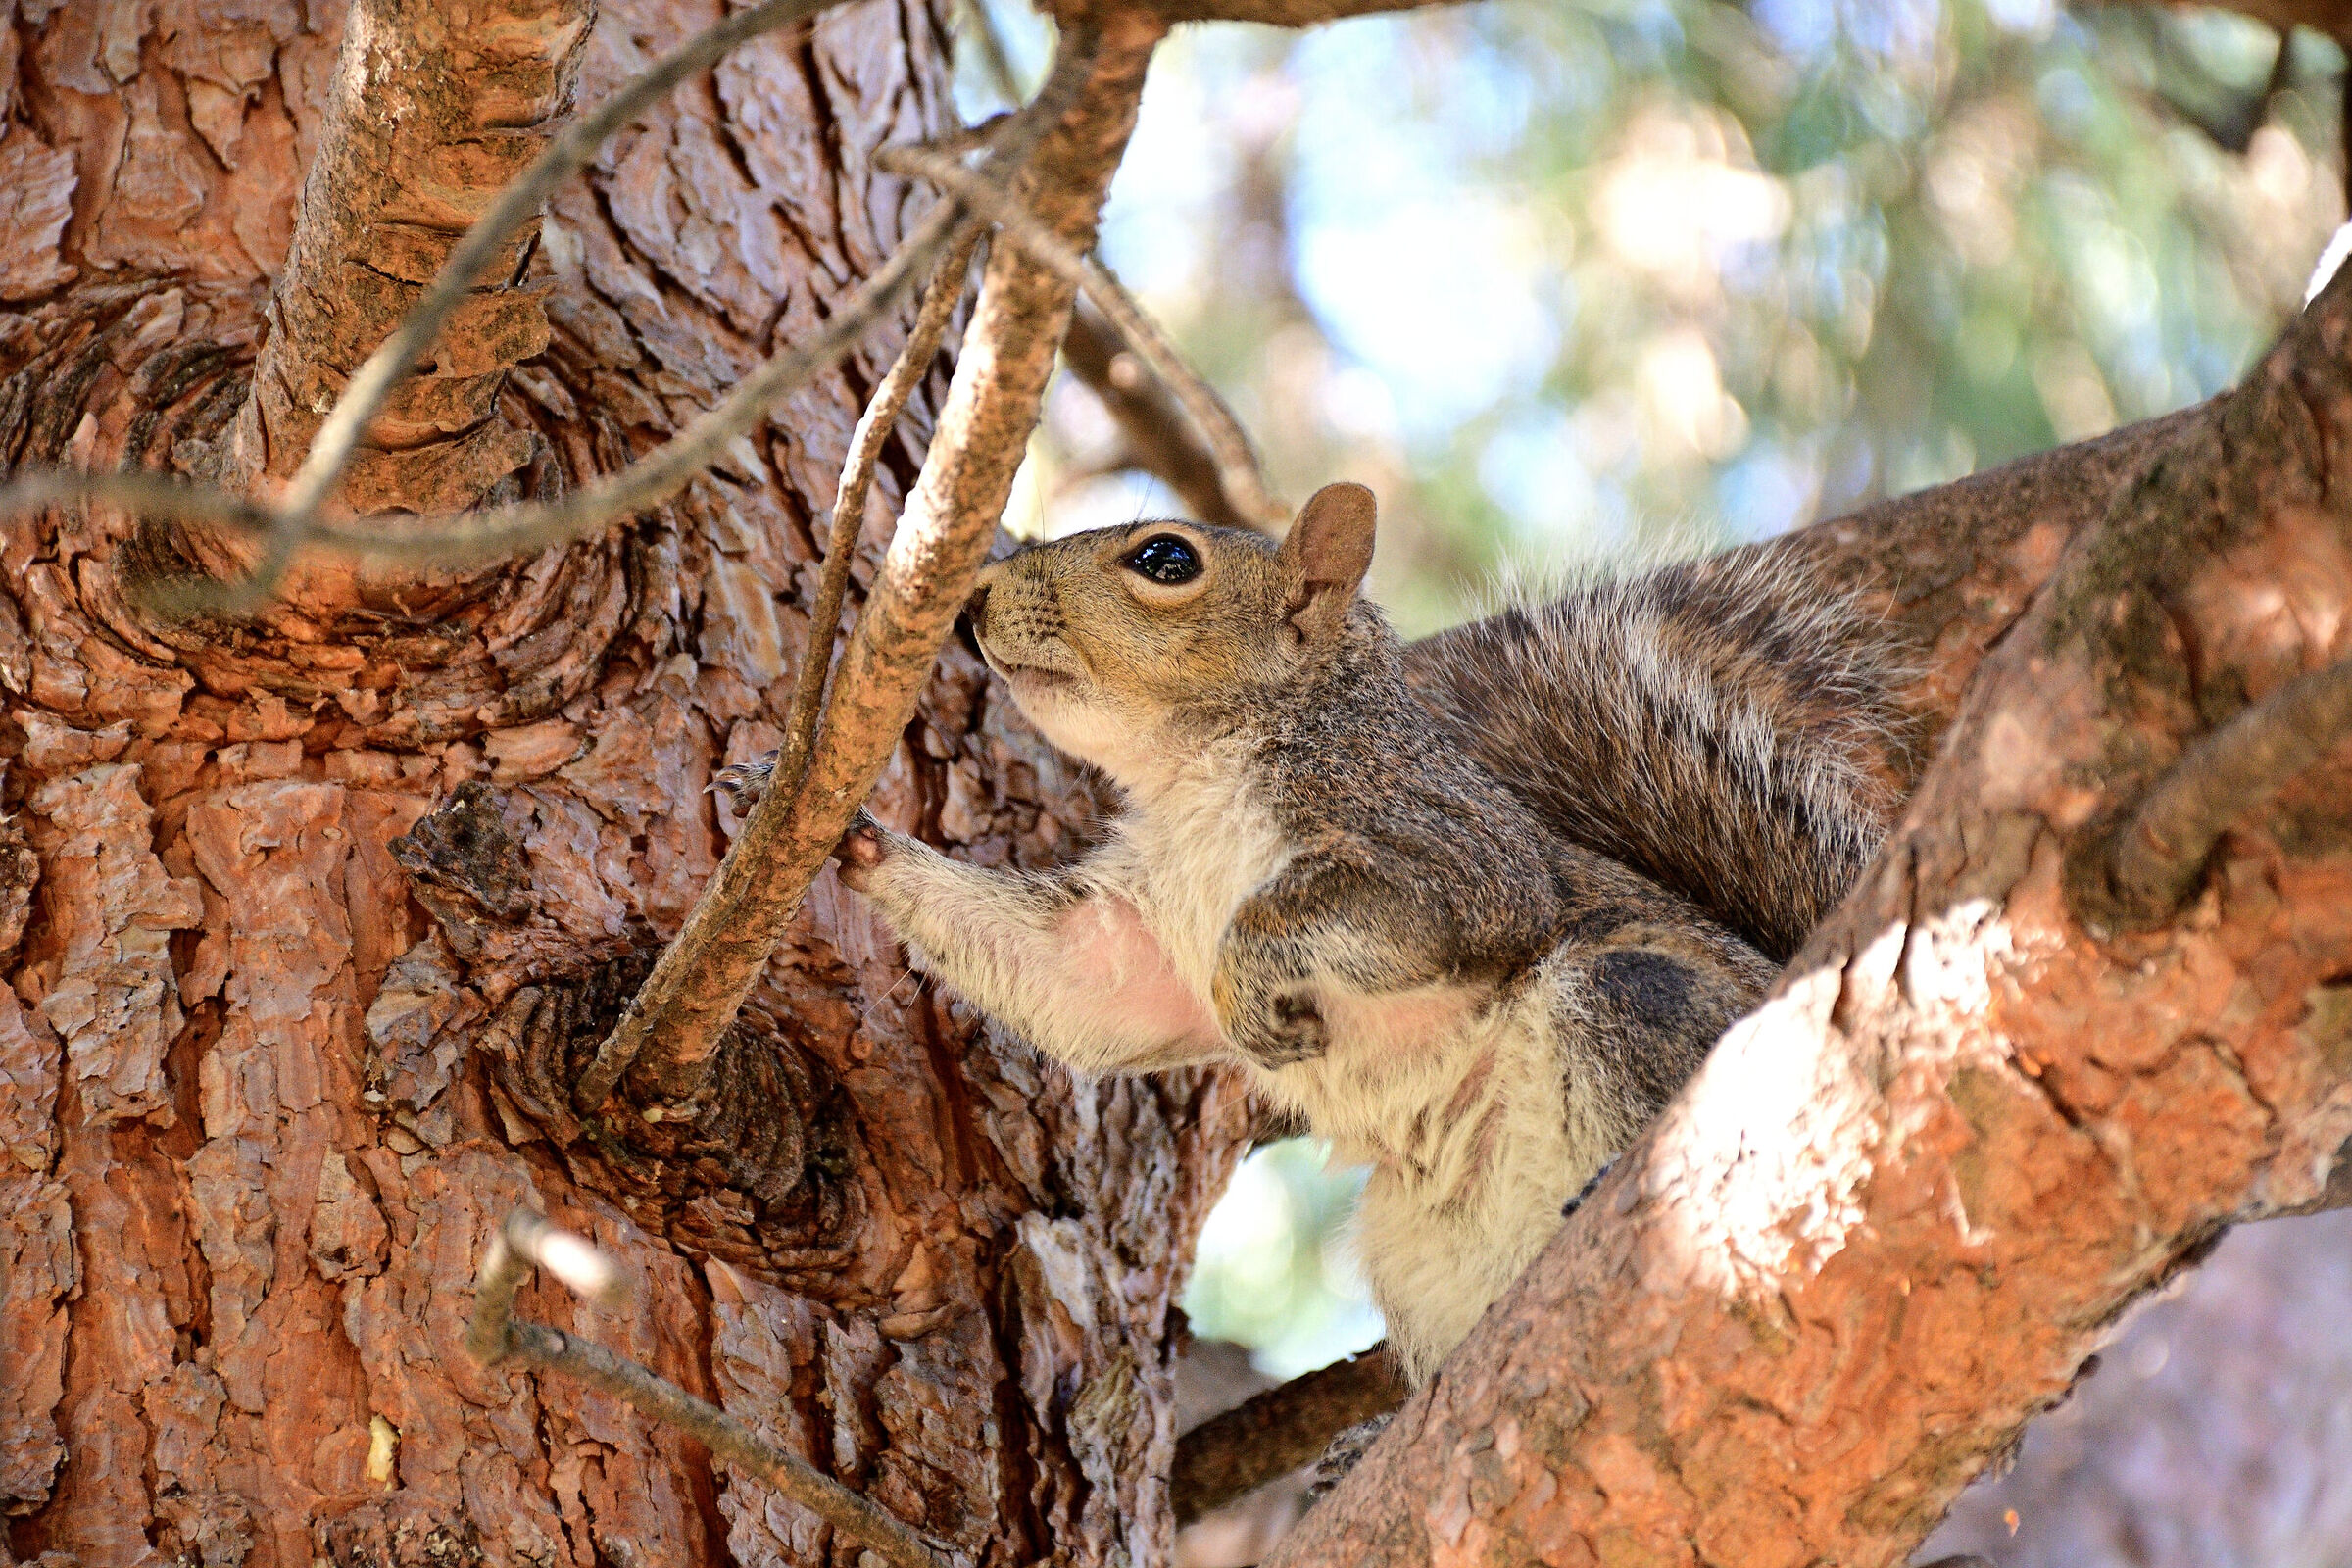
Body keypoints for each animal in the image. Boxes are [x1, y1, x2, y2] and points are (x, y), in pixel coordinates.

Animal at [720, 482, 1909, 1386]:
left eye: (1165, 559)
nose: (975, 598)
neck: (1195, 774)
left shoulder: (1441, 845)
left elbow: (1397, 904)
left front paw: (1254, 981)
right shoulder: (1140, 931)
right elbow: (1082, 987)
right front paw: (832, 827)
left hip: (1638, 1006)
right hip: (1418, 1240)